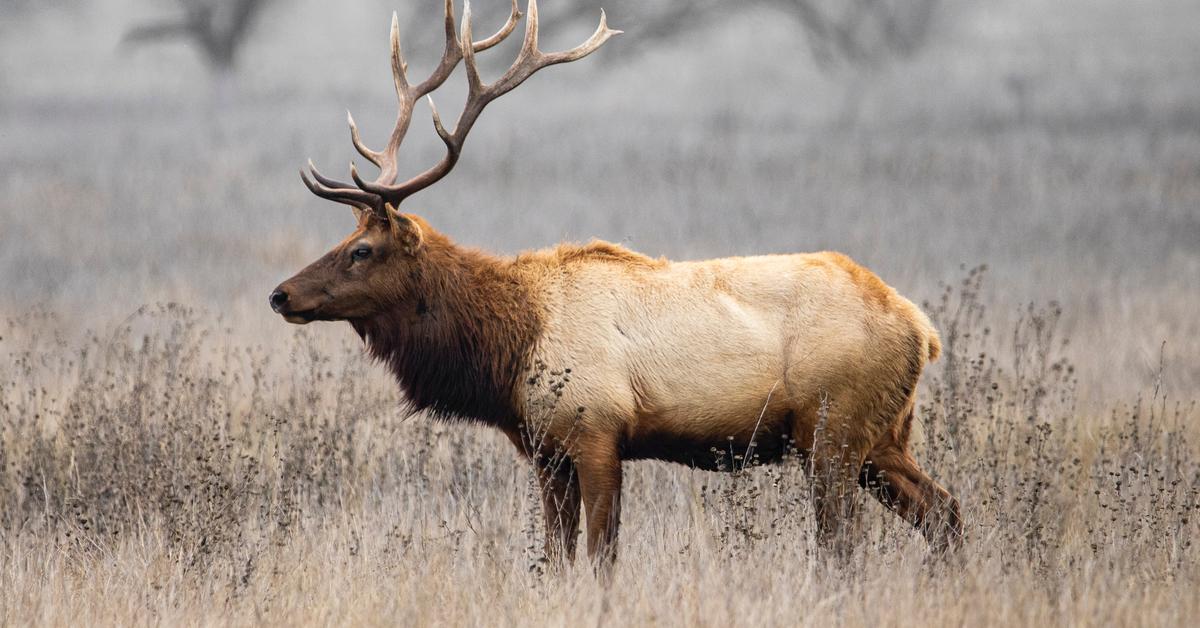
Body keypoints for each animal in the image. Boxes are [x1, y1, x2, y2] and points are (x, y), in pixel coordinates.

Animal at [272, 0, 964, 569]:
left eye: (361, 250)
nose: (281, 294)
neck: (510, 348)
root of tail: (921, 329)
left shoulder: (596, 431)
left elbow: (601, 556)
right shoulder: (546, 451)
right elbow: (556, 557)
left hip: (833, 429)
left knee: (844, 543)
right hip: (882, 436)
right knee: (945, 512)